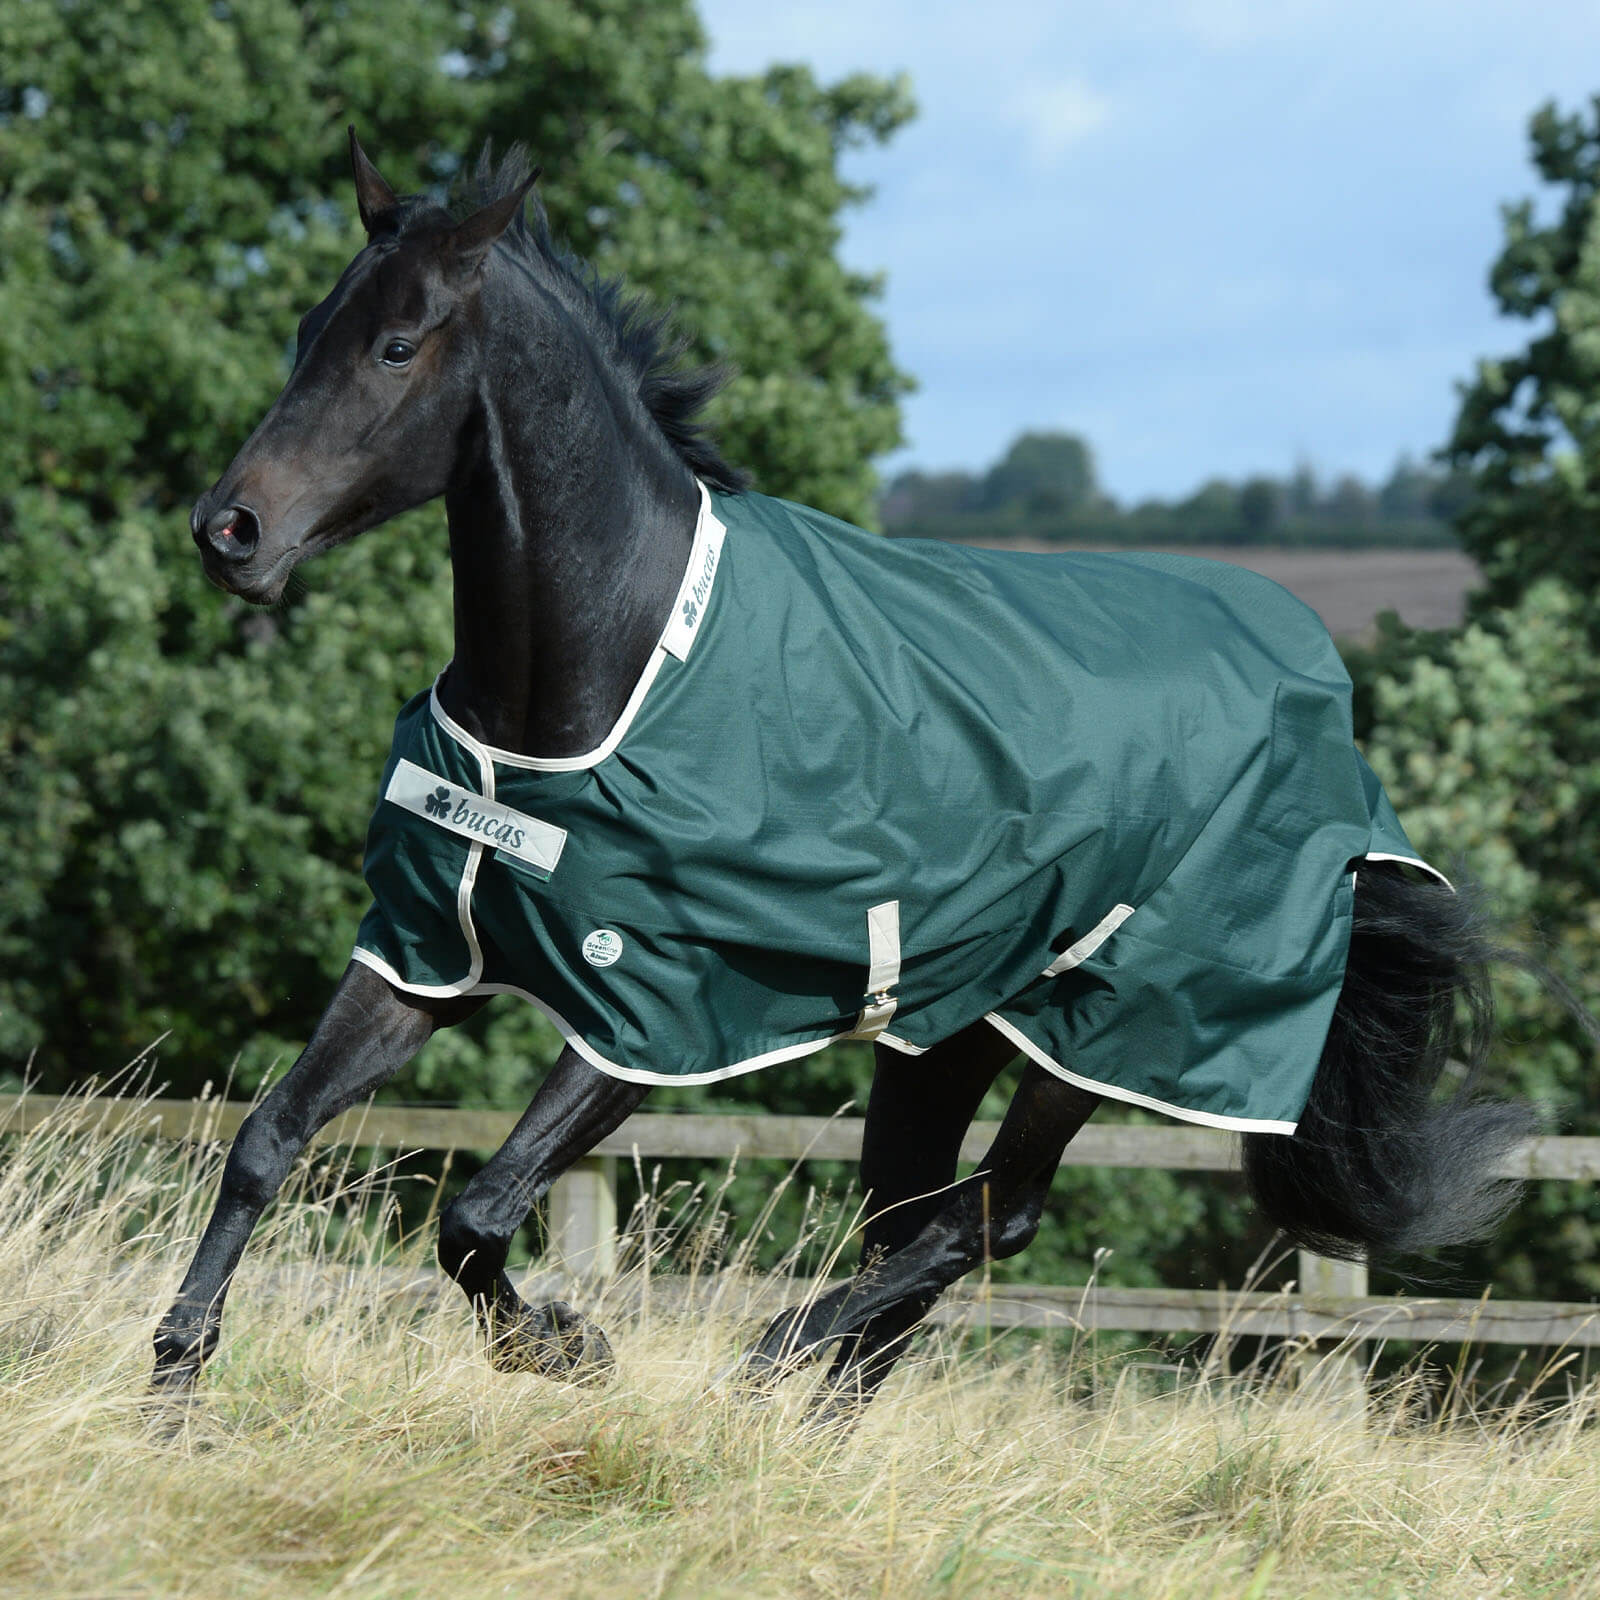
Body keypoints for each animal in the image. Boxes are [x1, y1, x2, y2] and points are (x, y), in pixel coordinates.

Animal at [153, 131, 1534, 1418]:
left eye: (398, 346)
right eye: (307, 331)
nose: (231, 532)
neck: (597, 680)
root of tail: (1326, 705)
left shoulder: (654, 1015)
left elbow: (476, 1215)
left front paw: (564, 1345)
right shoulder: (422, 953)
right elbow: (269, 1139)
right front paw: (176, 1378)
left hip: (1103, 1026)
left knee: (987, 1214)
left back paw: (772, 1360)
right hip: (943, 1035)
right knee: (922, 1221)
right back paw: (821, 1405)